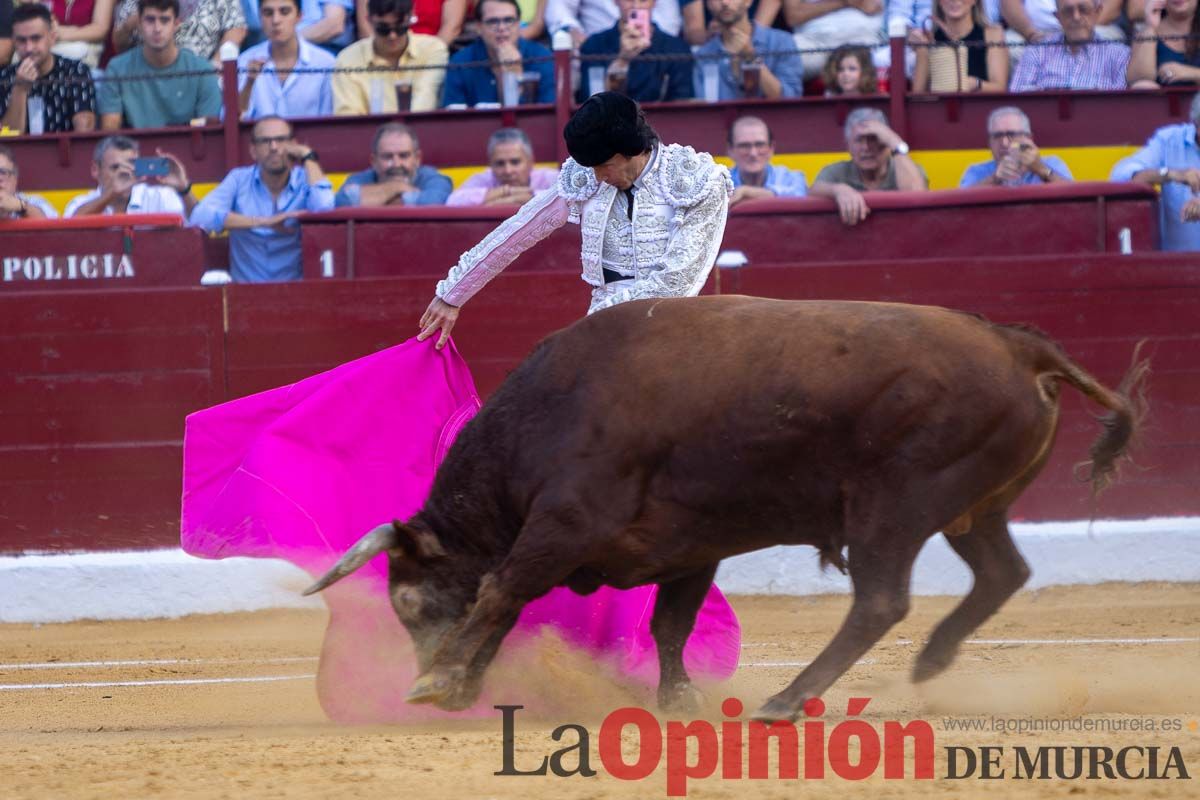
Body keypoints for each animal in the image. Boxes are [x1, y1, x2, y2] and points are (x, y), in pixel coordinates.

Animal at [304, 297, 1147, 724]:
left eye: (409, 605)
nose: (426, 678)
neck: (547, 418)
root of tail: (1019, 346)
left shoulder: (563, 525)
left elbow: (498, 590)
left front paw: (440, 679)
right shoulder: (689, 545)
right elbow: (667, 625)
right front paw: (677, 702)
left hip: (895, 507)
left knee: (879, 601)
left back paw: (786, 700)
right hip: (969, 507)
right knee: (1002, 573)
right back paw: (931, 661)